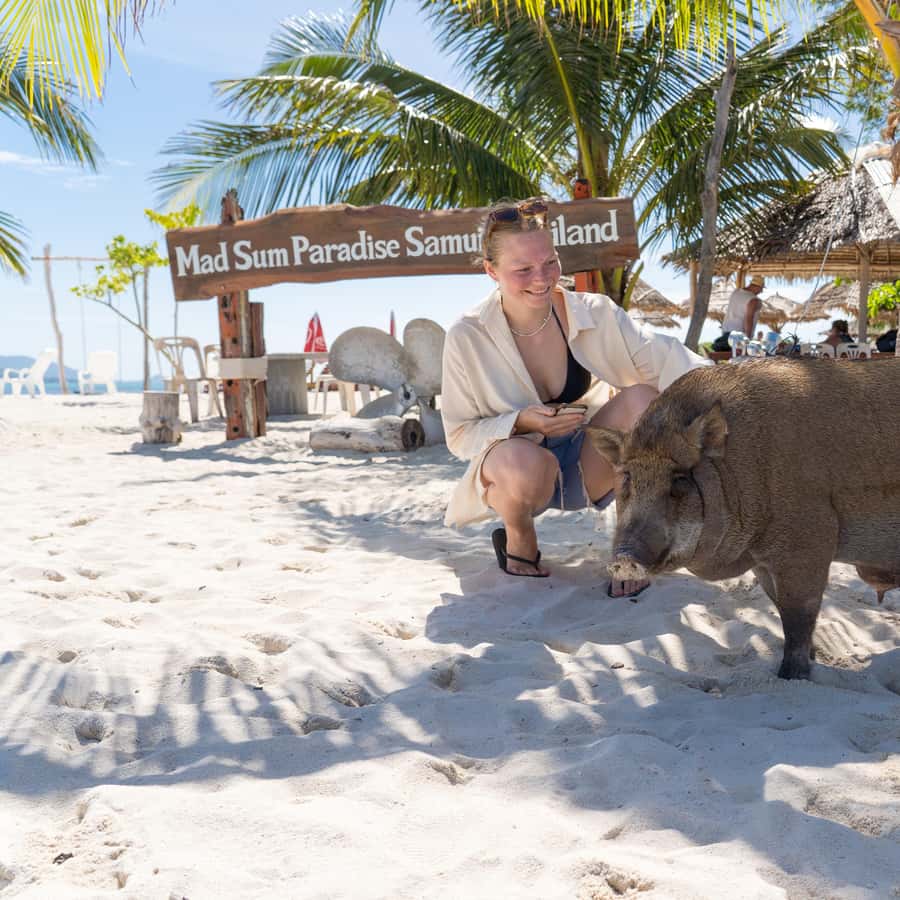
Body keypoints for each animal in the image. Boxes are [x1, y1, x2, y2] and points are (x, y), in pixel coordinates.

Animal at [589, 357, 900, 679]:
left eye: (679, 480)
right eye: (628, 477)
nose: (624, 557)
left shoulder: (809, 542)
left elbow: (799, 615)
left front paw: (790, 676)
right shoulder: (763, 561)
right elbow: (780, 608)